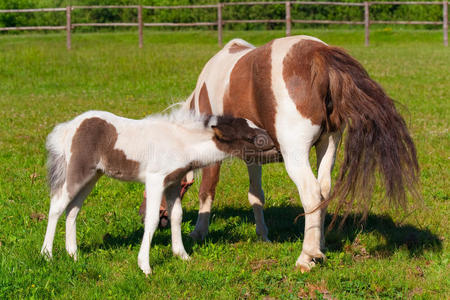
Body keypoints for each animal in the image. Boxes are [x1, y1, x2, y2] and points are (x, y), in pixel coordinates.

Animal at [40, 109, 278, 276]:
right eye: (253, 138)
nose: (277, 144)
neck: (182, 143)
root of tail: (68, 128)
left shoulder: (172, 183)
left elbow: (176, 216)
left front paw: (182, 255)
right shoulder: (155, 180)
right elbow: (153, 219)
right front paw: (145, 266)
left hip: (92, 176)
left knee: (72, 210)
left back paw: (73, 254)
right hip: (78, 171)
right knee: (57, 206)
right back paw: (47, 255)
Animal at [167, 35, 420, 272]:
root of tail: (319, 55)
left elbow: (207, 190)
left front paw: (198, 233)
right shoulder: (252, 153)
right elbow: (256, 195)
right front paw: (262, 235)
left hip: (296, 153)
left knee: (311, 193)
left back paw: (306, 257)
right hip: (328, 145)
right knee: (324, 191)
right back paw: (320, 246)